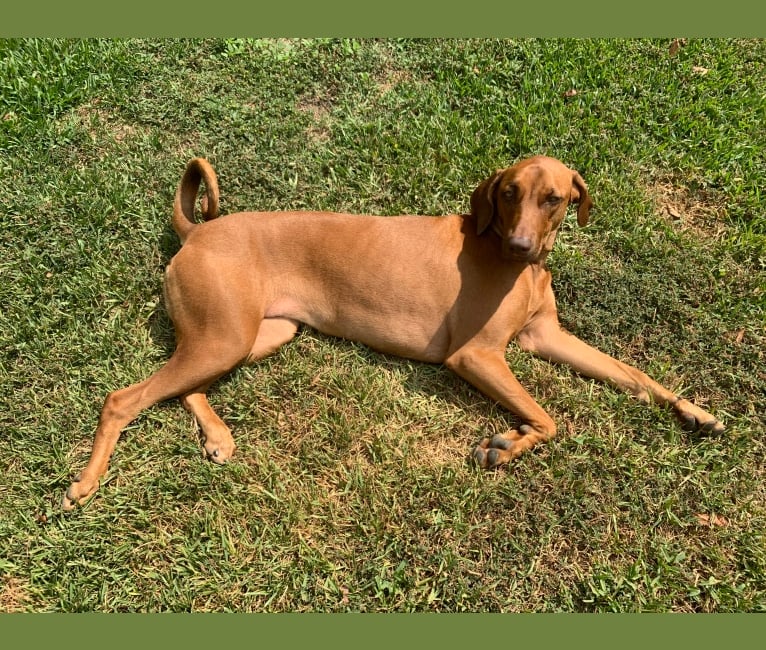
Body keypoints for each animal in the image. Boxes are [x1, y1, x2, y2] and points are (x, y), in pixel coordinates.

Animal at [61, 154, 728, 508]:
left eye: (555, 199)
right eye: (509, 193)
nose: (518, 247)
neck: (516, 266)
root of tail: (197, 231)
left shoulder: (545, 338)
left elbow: (634, 375)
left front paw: (694, 411)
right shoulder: (475, 356)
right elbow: (549, 418)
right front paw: (507, 444)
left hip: (253, 336)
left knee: (184, 386)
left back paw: (218, 437)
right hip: (223, 337)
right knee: (124, 398)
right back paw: (86, 482)